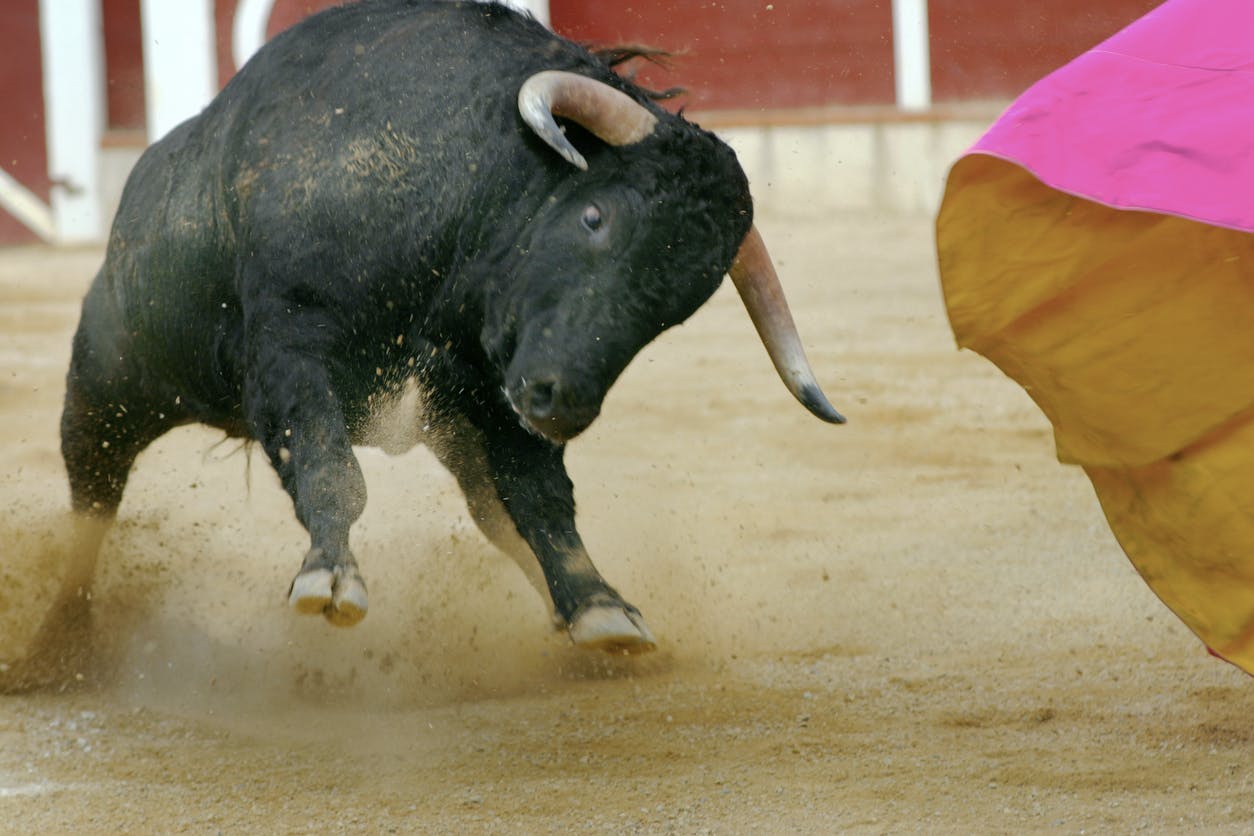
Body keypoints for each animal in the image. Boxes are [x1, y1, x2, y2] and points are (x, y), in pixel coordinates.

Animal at [58, 0, 842, 651]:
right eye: (595, 217)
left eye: (681, 304)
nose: (562, 403)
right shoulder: (290, 347)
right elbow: (331, 467)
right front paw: (330, 579)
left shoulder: (495, 397)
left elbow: (541, 500)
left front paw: (600, 609)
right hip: (107, 375)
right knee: (91, 495)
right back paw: (58, 643)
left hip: (459, 430)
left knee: (497, 515)